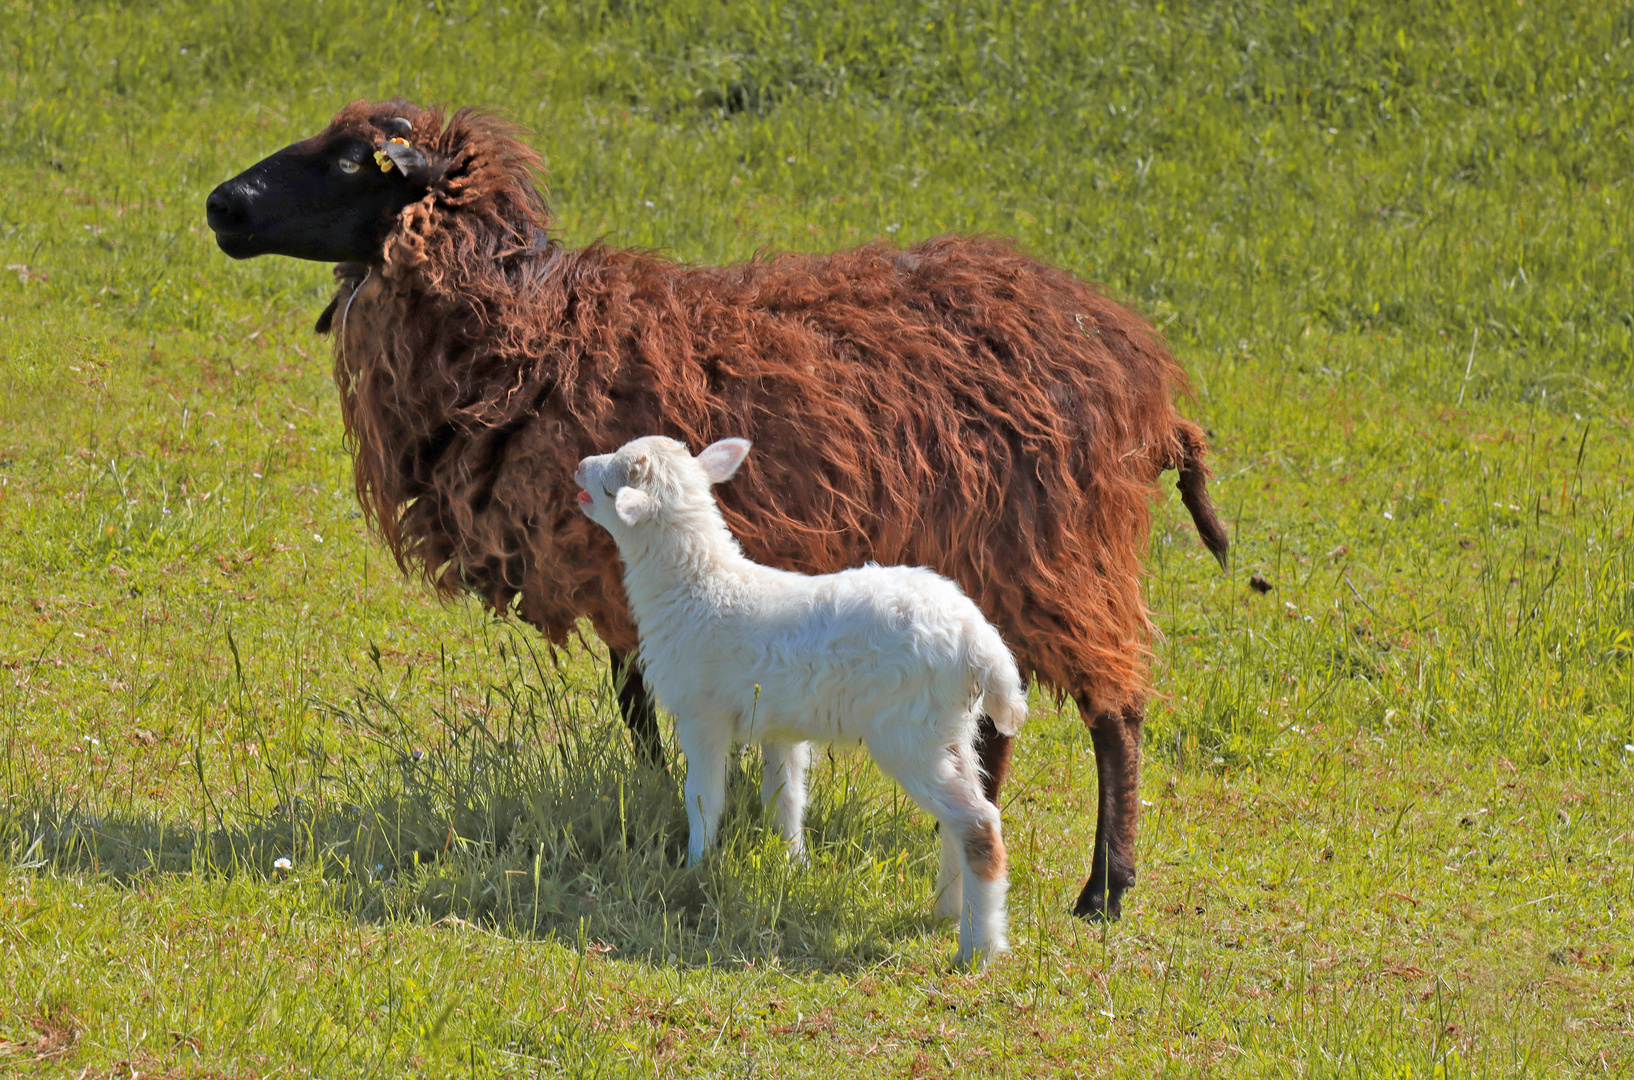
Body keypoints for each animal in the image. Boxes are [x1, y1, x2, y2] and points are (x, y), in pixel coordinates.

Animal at [575, 434, 1026, 967]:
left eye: (611, 484)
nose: (580, 466)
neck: (700, 587)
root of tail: (980, 642)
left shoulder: (702, 714)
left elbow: (704, 797)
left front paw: (695, 867)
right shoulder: (777, 725)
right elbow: (785, 798)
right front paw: (792, 865)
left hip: (909, 732)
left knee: (978, 825)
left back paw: (978, 948)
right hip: (951, 728)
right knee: (959, 817)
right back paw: (947, 911)